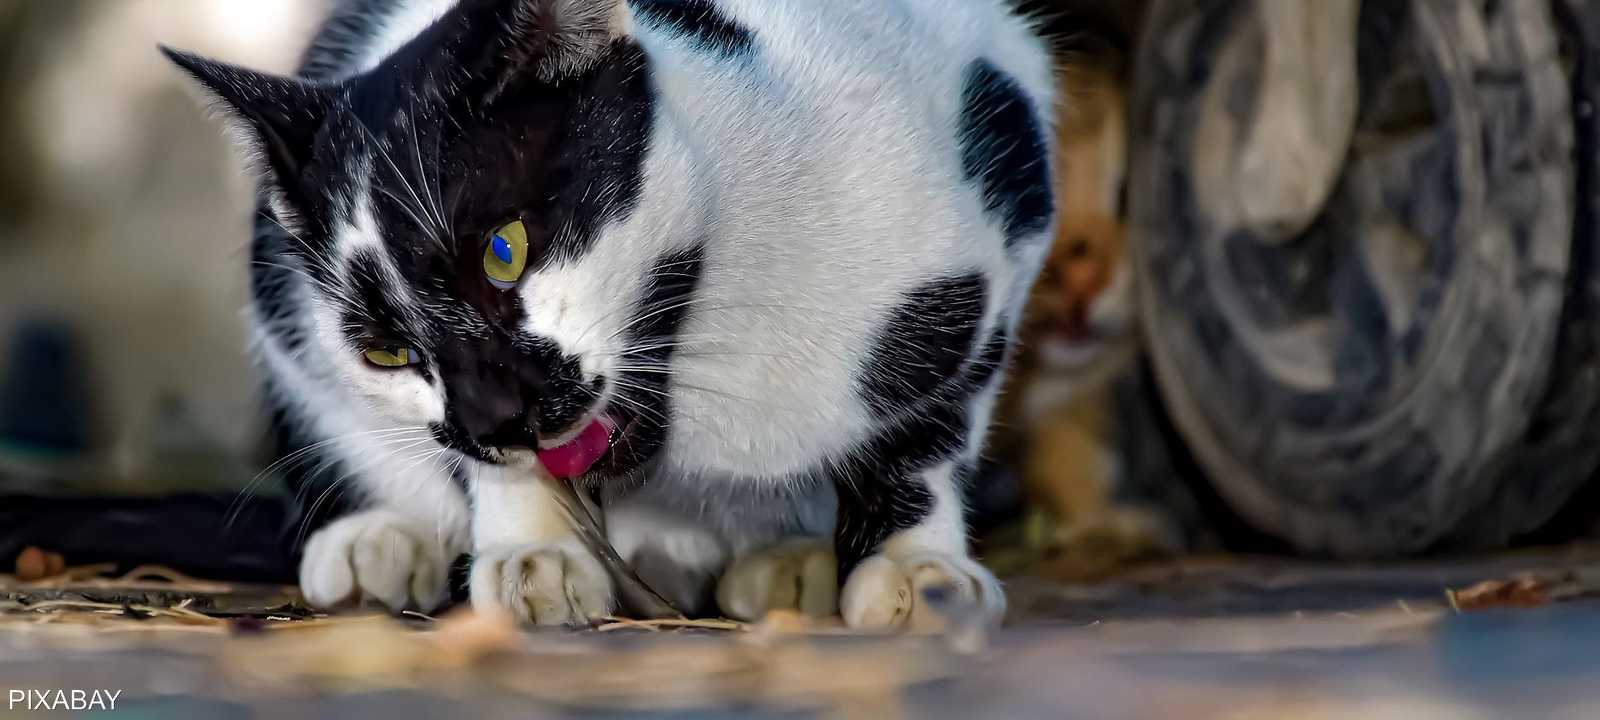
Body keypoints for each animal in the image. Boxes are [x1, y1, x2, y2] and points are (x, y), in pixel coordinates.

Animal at [165, 0, 1062, 627]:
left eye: (505, 251)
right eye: (385, 351)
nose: (495, 418)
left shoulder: (1002, 200)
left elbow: (932, 429)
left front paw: (917, 567)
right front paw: (534, 551)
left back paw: (785, 559)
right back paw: (378, 542)